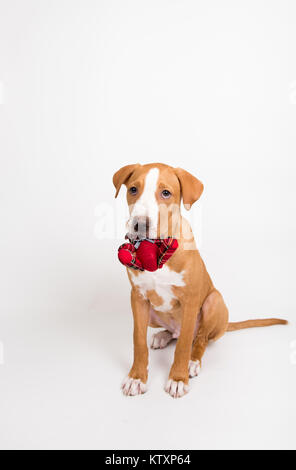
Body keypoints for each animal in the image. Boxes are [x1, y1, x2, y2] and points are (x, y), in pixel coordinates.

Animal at [112, 163, 286, 398]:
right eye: (132, 189)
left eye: (166, 193)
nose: (139, 224)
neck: (155, 249)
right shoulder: (138, 298)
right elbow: (138, 341)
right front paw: (137, 378)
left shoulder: (191, 300)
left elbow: (184, 345)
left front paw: (177, 378)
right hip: (152, 317)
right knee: (175, 334)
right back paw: (163, 336)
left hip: (214, 301)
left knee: (199, 338)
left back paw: (192, 362)